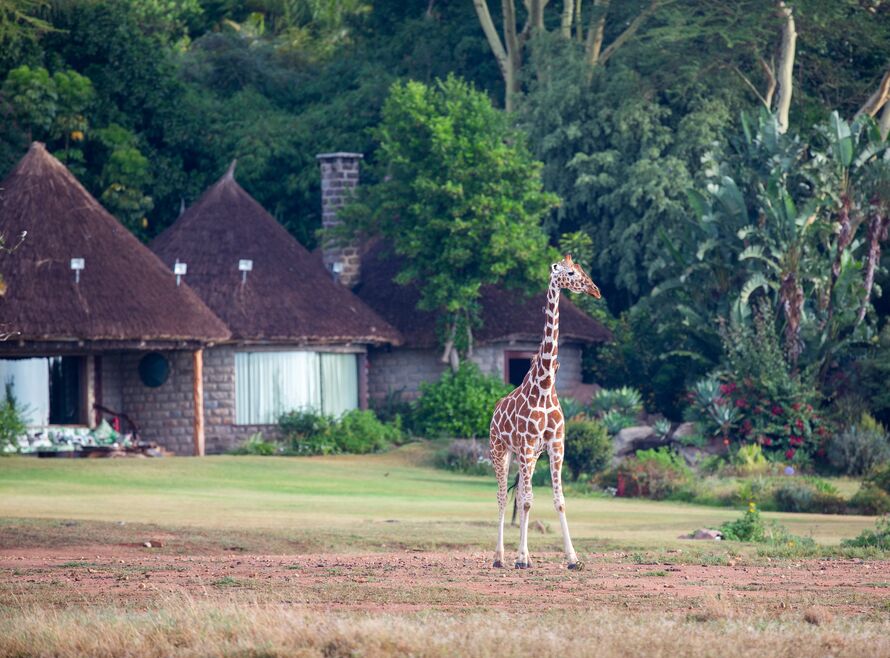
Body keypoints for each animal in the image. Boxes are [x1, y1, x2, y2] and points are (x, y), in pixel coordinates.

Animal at [489, 254, 601, 570]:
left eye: (581, 269)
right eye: (570, 273)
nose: (596, 290)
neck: (545, 385)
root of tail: (494, 412)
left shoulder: (554, 445)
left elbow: (557, 500)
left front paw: (573, 558)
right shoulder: (527, 445)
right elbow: (527, 500)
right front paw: (520, 559)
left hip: (527, 456)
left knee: (518, 495)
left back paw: (520, 556)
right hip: (501, 450)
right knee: (502, 496)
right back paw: (500, 557)